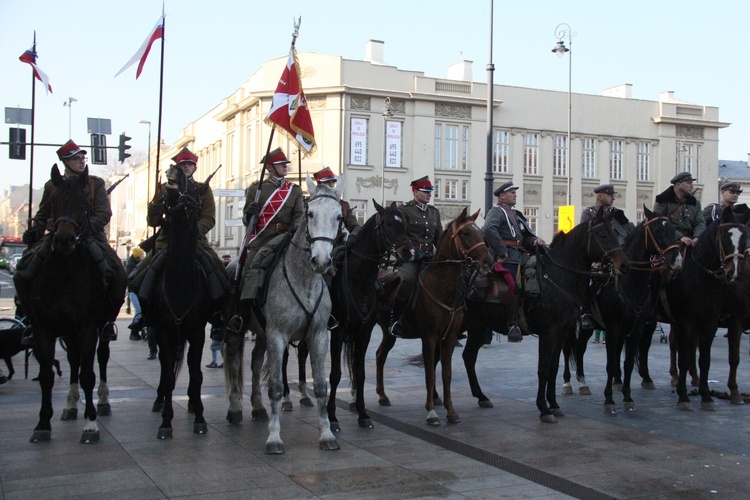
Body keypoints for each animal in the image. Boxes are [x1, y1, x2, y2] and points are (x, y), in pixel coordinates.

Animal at [14, 166, 117, 444]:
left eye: (83, 203)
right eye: (53, 202)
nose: (64, 241)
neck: (64, 273)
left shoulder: (88, 327)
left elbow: (88, 375)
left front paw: (90, 425)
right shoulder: (44, 329)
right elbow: (47, 375)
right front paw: (42, 424)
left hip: (100, 327)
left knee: (101, 358)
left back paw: (103, 402)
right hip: (67, 331)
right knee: (73, 360)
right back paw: (70, 405)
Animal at [143, 167, 214, 438]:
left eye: (193, 188)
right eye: (163, 191)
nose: (173, 170)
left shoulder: (197, 332)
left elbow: (195, 371)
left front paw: (200, 416)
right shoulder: (164, 332)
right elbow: (167, 373)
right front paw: (166, 421)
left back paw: (192, 403)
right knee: (167, 371)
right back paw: (159, 400)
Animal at [222, 180, 342, 454]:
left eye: (339, 217)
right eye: (310, 214)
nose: (321, 261)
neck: (304, 279)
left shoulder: (318, 335)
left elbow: (321, 386)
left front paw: (327, 434)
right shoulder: (278, 335)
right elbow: (276, 388)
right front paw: (274, 438)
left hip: (262, 333)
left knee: (255, 363)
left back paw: (257, 407)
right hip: (236, 330)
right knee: (234, 362)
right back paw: (235, 409)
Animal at [374, 207, 494, 426]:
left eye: (480, 232)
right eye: (466, 233)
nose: (487, 261)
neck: (442, 286)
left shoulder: (450, 337)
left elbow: (446, 374)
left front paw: (451, 411)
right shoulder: (429, 337)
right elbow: (430, 374)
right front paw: (431, 412)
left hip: (388, 333)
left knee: (380, 355)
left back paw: (382, 395)